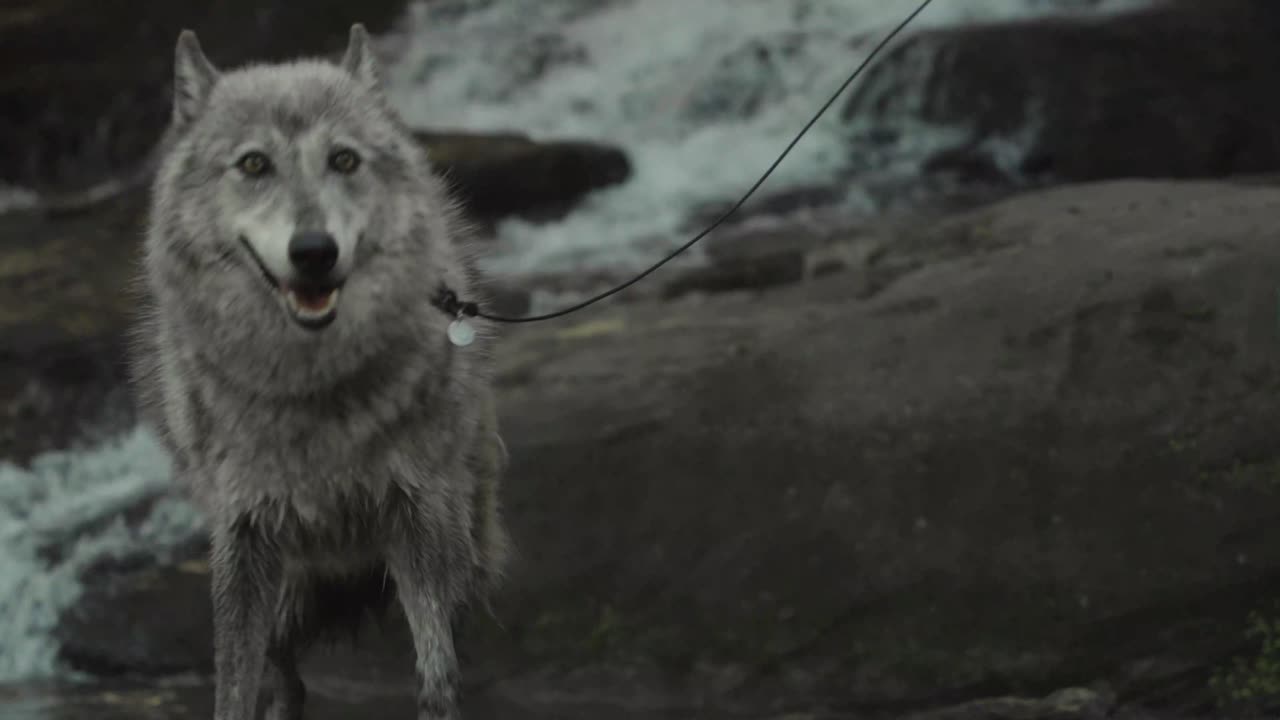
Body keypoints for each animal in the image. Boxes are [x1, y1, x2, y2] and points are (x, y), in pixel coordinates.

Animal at [128, 23, 509, 720]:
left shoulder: (419, 520)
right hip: (287, 591)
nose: (313, 252)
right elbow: (232, 689)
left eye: (344, 160)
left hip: (461, 550)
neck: (310, 386)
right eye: (254, 164)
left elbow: (438, 677)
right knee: (286, 680)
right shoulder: (244, 537)